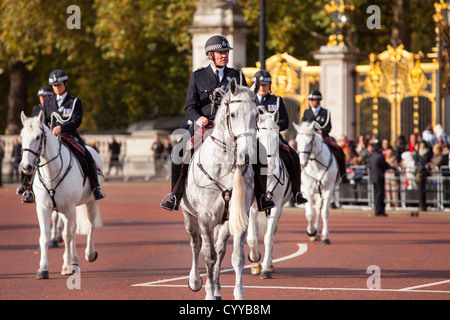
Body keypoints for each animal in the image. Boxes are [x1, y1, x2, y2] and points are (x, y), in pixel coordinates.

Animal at [20, 111, 103, 278]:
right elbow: (45, 236)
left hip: (91, 203)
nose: (26, 167)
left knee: (89, 226)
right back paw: (74, 260)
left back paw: (88, 254)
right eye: (21, 136)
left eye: (38, 137)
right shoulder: (43, 208)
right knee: (72, 229)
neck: (51, 172)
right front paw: (43, 269)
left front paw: (66, 266)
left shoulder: (69, 207)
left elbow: (67, 236)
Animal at [181, 78, 258, 300]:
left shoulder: (237, 216)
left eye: (257, 115)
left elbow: (235, 257)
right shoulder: (205, 218)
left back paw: (216, 288)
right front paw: (207, 292)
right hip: (189, 215)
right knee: (196, 244)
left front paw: (236, 293)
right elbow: (208, 256)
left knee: (219, 249)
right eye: (233, 114)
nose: (247, 156)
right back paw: (196, 281)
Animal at [246, 104, 292, 278]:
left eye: (277, 134)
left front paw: (265, 268)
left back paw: (270, 264)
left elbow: (268, 237)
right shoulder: (252, 207)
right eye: (259, 135)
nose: (271, 167)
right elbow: (252, 238)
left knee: (271, 233)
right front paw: (254, 260)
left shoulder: (276, 207)